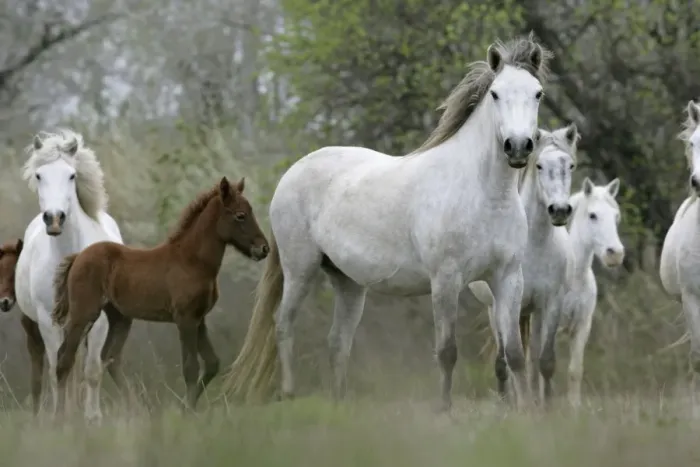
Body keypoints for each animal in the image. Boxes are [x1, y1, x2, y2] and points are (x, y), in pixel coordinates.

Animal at [14, 129, 132, 423]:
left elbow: (91, 370)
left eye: (71, 175)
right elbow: (57, 368)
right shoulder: (48, 320)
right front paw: (61, 417)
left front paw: (93, 419)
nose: (54, 219)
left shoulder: (98, 320)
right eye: (39, 175)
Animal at [52, 177, 269, 413]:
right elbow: (190, 367)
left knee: (110, 358)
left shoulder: (199, 319)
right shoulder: (185, 319)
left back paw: (136, 408)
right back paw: (60, 416)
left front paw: (187, 406)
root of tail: (78, 256)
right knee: (64, 358)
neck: (191, 261)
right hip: (84, 313)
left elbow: (212, 363)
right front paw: (187, 411)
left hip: (120, 317)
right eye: (240, 215)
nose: (264, 248)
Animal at [223, 34, 553, 411]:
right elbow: (447, 351)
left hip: (348, 283)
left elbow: (514, 353)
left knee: (338, 342)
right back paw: (290, 393)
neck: (484, 193)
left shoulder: (507, 279)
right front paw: (445, 409)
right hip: (300, 270)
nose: (518, 147)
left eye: (538, 93)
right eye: (496, 94)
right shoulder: (446, 280)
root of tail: (292, 173)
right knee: (283, 325)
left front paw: (526, 411)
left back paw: (340, 402)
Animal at [464, 123, 580, 404]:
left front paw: (546, 407)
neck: (534, 245)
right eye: (539, 166)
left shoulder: (551, 304)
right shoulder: (505, 304)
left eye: (570, 165)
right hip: (496, 310)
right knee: (503, 362)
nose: (560, 211)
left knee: (532, 357)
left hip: (532, 312)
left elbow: (544, 361)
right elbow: (508, 360)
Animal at [560, 177, 624, 407]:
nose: (615, 254)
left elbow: (574, 371)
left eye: (616, 216)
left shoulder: (582, 326)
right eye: (592, 215)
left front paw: (574, 409)